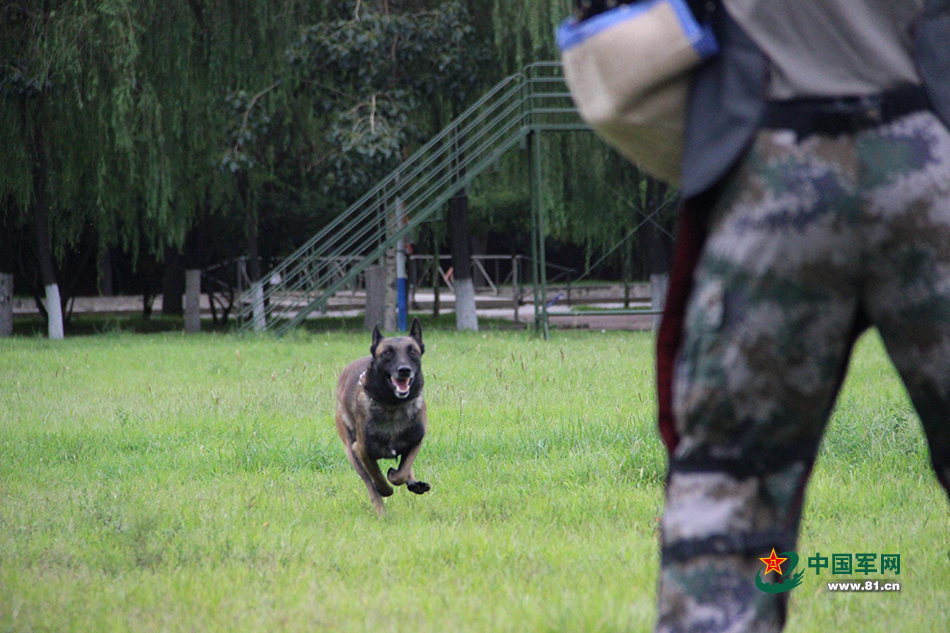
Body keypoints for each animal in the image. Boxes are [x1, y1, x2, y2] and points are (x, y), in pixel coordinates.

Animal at [334, 318, 432, 516]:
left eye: (413, 351)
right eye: (387, 352)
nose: (404, 370)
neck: (393, 406)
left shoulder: (416, 441)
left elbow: (402, 472)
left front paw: (397, 475)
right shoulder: (361, 451)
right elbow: (378, 479)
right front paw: (384, 488)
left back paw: (414, 483)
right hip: (351, 452)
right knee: (369, 484)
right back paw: (381, 513)